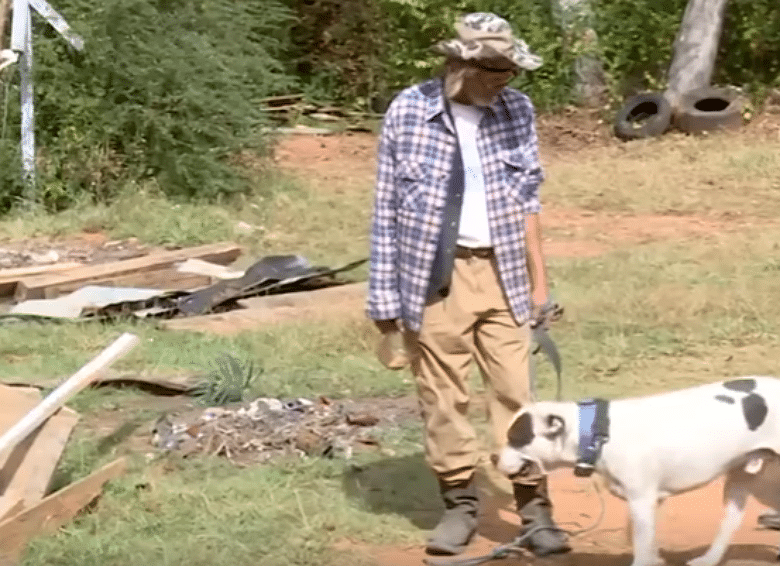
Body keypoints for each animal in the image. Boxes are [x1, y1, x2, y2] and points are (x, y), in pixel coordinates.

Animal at [496, 378, 780, 566]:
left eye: (515, 438)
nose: (492, 457)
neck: (599, 433)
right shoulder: (648, 503)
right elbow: (645, 541)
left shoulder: (641, 501)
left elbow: (642, 545)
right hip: (748, 478)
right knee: (731, 522)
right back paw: (707, 559)